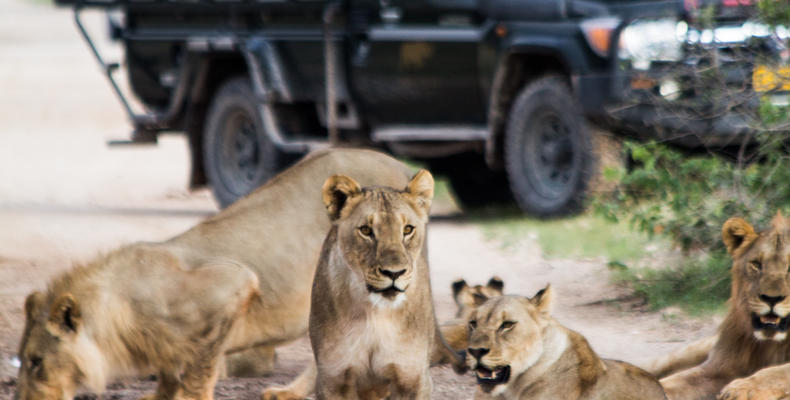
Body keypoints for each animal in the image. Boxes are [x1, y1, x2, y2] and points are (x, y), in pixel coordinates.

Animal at [15, 149, 418, 400]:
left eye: (35, 362)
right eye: (23, 359)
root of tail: (401, 167)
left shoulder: (233, 285)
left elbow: (199, 371)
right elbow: (169, 372)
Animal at [308, 170, 464, 400]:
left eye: (407, 229)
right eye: (366, 230)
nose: (394, 273)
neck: (375, 314)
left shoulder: (412, 378)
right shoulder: (333, 380)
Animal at [664, 212, 790, 400]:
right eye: (756, 264)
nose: (772, 298)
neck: (771, 344)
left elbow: (777, 372)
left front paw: (742, 388)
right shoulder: (720, 367)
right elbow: (673, 381)